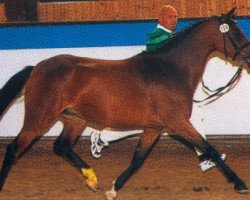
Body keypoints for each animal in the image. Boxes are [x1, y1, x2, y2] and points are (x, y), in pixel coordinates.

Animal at [0, 7, 250, 199]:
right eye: (234, 32)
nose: (248, 56)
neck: (169, 70)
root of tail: (37, 68)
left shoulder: (154, 128)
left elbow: (138, 159)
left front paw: (113, 189)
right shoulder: (177, 123)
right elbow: (209, 148)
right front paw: (239, 183)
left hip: (75, 120)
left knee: (61, 146)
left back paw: (92, 178)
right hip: (39, 118)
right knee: (14, 149)